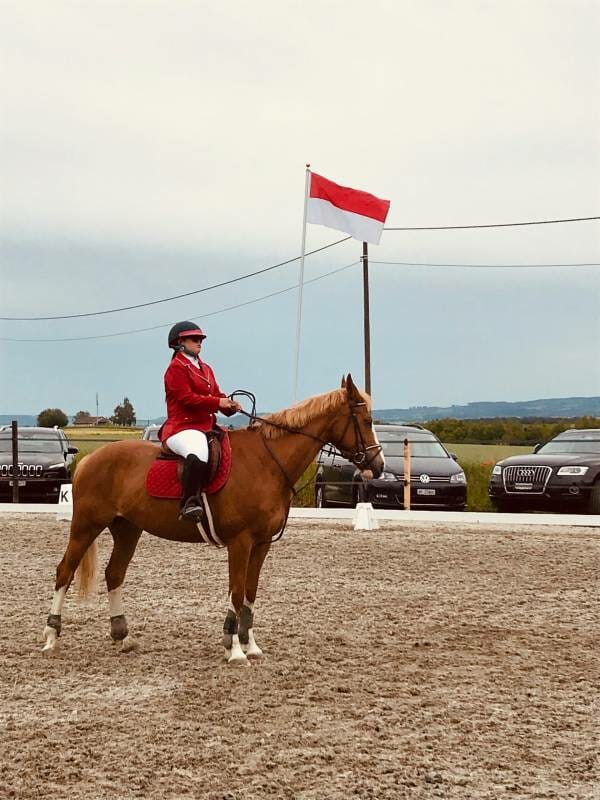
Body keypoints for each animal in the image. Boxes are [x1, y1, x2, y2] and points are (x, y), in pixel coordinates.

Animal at [41, 376, 384, 664]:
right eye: (366, 421)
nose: (378, 465)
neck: (267, 462)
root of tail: (89, 459)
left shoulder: (261, 544)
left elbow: (250, 593)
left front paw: (250, 645)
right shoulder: (240, 542)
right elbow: (236, 591)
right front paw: (234, 650)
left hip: (127, 529)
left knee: (114, 574)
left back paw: (121, 637)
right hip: (86, 526)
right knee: (64, 572)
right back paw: (51, 637)